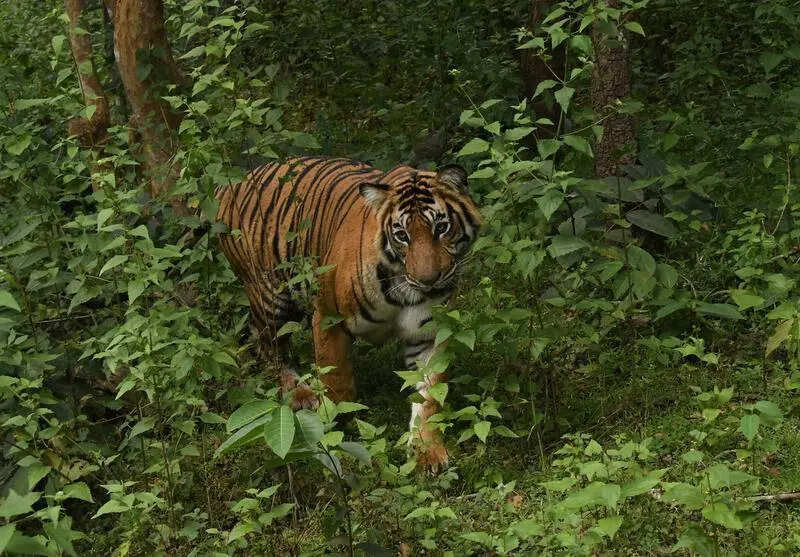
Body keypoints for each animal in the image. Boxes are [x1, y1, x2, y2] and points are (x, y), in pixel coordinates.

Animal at [215, 156, 482, 472]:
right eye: (401, 235)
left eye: (441, 227)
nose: (428, 279)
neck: (405, 289)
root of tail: (236, 181)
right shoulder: (328, 318)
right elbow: (336, 379)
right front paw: (331, 433)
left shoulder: (429, 335)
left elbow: (429, 397)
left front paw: (427, 451)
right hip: (270, 296)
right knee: (272, 351)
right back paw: (301, 395)